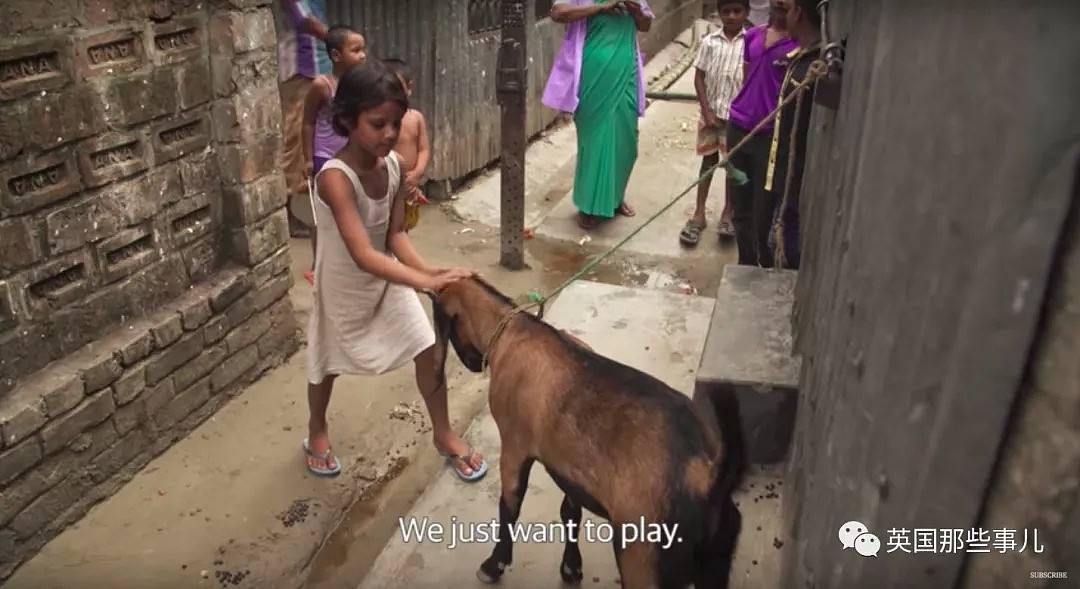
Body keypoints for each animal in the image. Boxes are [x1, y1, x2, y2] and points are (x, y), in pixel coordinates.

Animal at [423, 276, 743, 587]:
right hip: (713, 564)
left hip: (642, 558)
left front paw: (493, 565)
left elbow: (510, 505)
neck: (514, 331)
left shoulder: (514, 445)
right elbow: (570, 512)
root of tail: (704, 473)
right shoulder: (569, 467)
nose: (472, 365)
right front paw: (571, 567)